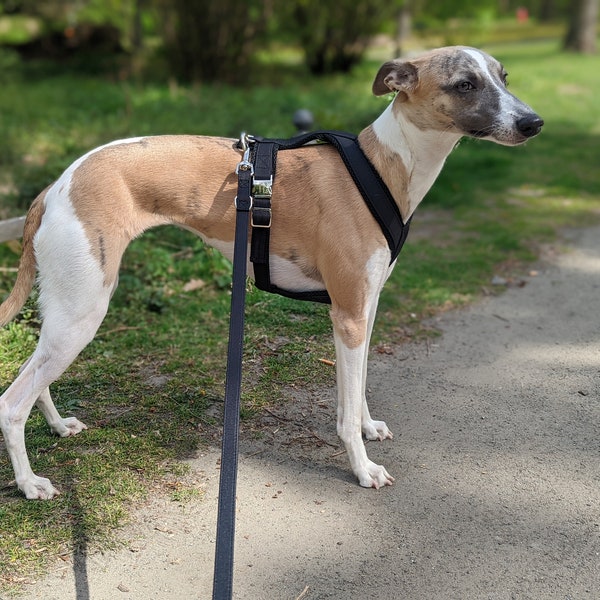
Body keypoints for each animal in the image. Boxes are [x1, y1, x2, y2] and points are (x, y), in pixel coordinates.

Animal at [0, 45, 544, 496]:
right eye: (466, 84)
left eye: (503, 76)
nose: (534, 123)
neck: (380, 168)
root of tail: (55, 187)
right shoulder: (347, 315)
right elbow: (344, 408)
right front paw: (362, 468)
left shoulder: (364, 309)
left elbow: (358, 389)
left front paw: (368, 427)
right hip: (84, 310)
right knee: (11, 402)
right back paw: (29, 484)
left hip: (65, 313)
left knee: (34, 373)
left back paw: (57, 425)